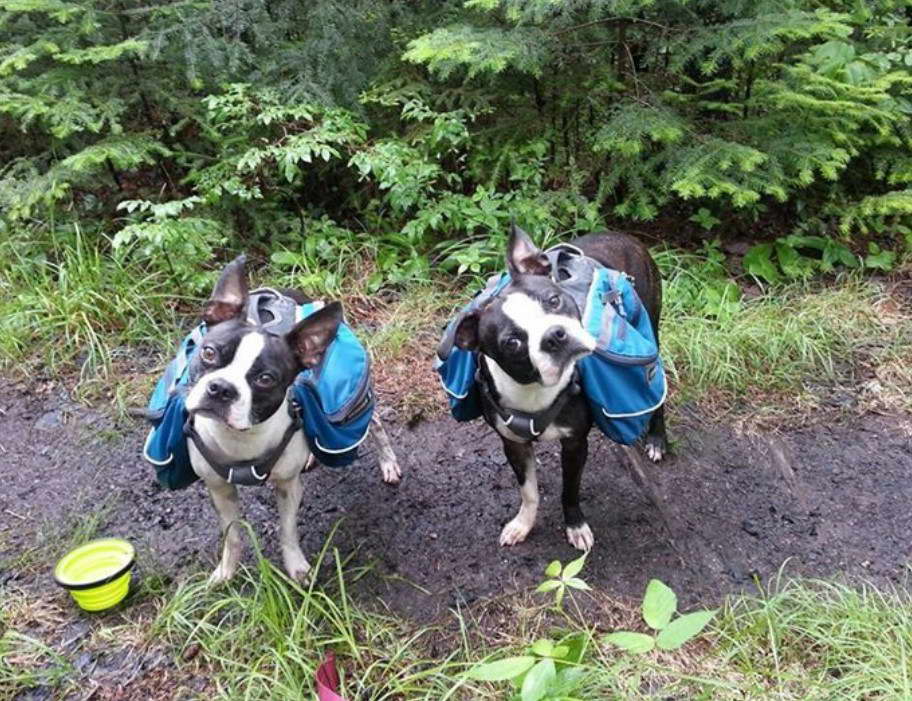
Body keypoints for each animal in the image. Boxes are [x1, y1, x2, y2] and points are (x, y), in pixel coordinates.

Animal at [184, 254, 400, 584]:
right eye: (208, 352)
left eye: (265, 379)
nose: (221, 388)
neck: (240, 438)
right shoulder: (219, 488)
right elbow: (232, 535)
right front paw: (225, 572)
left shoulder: (287, 487)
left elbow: (287, 532)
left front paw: (298, 569)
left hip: (355, 403)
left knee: (374, 425)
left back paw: (388, 462)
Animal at [452, 227, 668, 548]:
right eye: (512, 342)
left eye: (553, 300)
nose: (554, 335)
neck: (535, 388)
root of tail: (621, 234)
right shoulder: (513, 445)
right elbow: (528, 491)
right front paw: (523, 524)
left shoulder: (575, 443)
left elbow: (570, 490)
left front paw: (575, 526)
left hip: (652, 326)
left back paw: (657, 439)